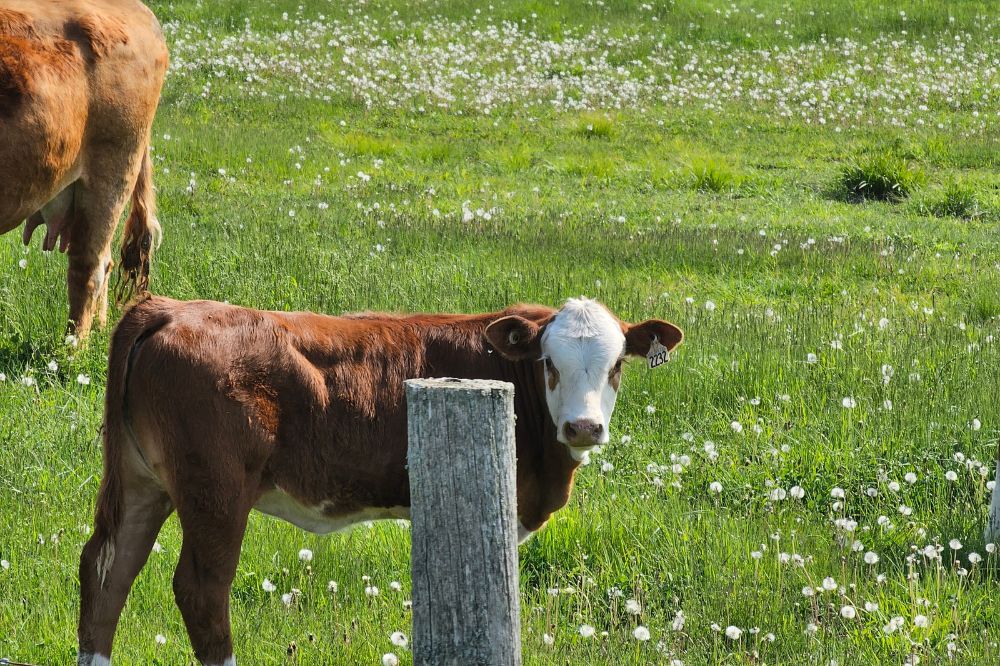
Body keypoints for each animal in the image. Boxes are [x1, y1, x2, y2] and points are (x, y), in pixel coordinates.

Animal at [78, 296, 684, 664]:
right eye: (550, 364)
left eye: (616, 367)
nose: (584, 426)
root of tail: (168, 308)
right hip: (216, 493)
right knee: (200, 591)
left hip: (142, 482)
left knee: (107, 572)